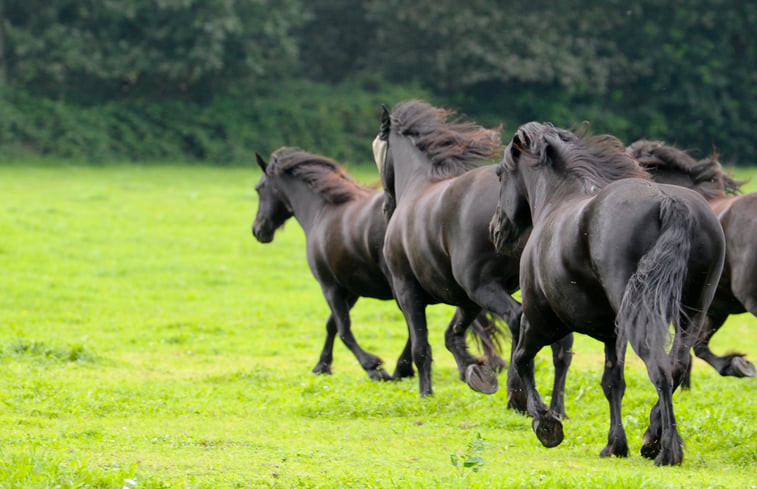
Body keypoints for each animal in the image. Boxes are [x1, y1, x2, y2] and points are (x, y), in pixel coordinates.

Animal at [251, 147, 504, 384]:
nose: (257, 230)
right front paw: (322, 365)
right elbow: (332, 325)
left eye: (259, 188)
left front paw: (372, 366)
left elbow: (343, 329)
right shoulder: (351, 290)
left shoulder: (330, 286)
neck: (322, 212)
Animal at [376, 100, 568, 408]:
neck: (417, 186)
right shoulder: (466, 300)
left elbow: (421, 346)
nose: (385, 207)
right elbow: (451, 335)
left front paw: (426, 393)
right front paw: (476, 373)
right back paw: (555, 407)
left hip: (484, 288)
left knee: (517, 320)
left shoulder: (409, 292)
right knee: (560, 343)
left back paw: (517, 395)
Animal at [490, 122, 728, 466]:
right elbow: (613, 382)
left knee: (659, 368)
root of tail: (669, 203)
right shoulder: (610, 333)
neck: (558, 201)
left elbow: (522, 360)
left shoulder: (539, 319)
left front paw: (546, 425)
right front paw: (616, 444)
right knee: (676, 366)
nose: (496, 230)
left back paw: (667, 449)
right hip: (693, 313)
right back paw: (652, 438)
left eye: (500, 174)